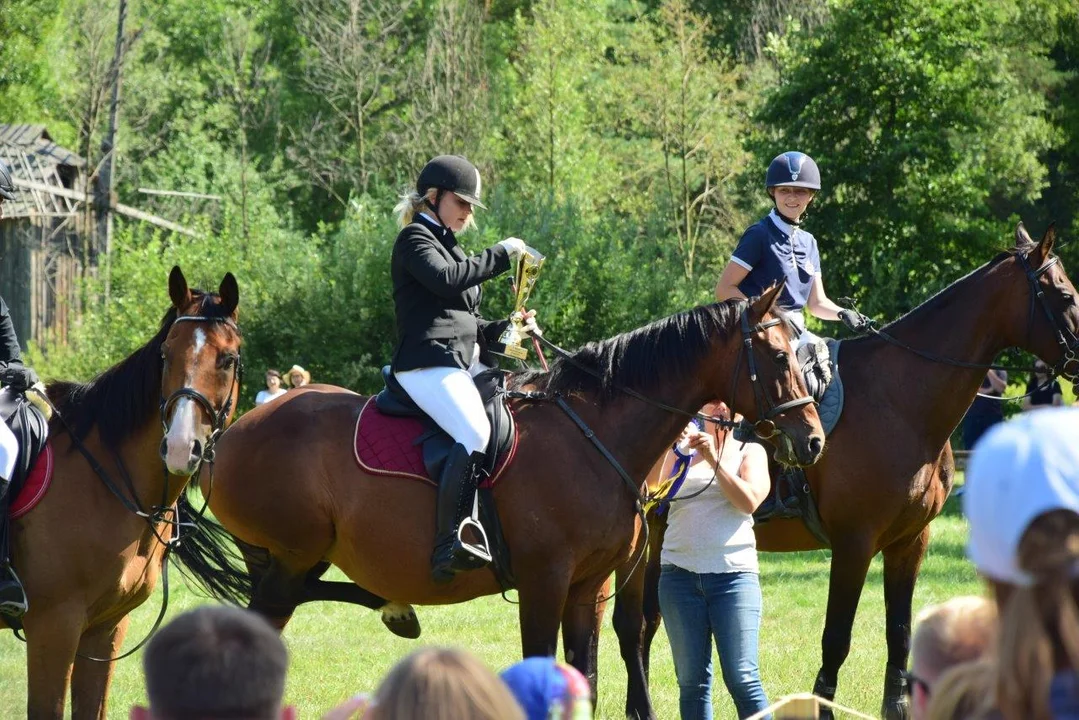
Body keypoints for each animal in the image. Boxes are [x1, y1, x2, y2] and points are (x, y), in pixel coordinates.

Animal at [1, 267, 242, 716]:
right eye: (166, 354)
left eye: (228, 359)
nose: (180, 447)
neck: (103, 479)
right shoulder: (53, 626)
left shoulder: (105, 628)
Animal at [183, 284, 824, 695]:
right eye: (777, 356)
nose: (813, 440)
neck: (593, 434)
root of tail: (227, 434)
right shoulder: (545, 582)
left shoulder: (588, 588)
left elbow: (586, 679)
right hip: (291, 559)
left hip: (291, 561)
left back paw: (395, 609)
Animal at [612, 222, 1079, 716]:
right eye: (1066, 296)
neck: (900, 403)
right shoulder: (854, 544)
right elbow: (836, 639)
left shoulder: (909, 543)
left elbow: (900, 634)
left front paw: (897, 707)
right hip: (643, 542)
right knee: (632, 624)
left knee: (648, 621)